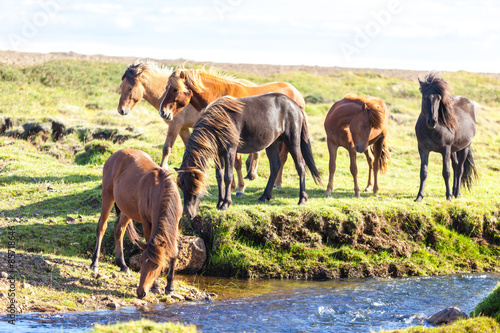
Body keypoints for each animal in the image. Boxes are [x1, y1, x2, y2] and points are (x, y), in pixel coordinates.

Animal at [90, 148, 182, 298]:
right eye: (141, 262)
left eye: (156, 266)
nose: (141, 292)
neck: (161, 191)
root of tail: (115, 154)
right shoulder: (146, 222)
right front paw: (156, 286)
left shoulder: (175, 224)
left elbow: (174, 252)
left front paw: (170, 287)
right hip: (107, 196)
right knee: (102, 227)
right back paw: (95, 263)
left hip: (127, 209)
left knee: (119, 229)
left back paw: (122, 265)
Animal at [116, 60, 254, 195]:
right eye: (121, 87)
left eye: (130, 88)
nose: (121, 110)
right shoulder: (183, 129)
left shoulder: (175, 125)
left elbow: (166, 148)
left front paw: (163, 169)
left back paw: (243, 183)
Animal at [158, 66, 304, 188]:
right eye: (166, 88)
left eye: (175, 89)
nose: (163, 112)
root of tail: (296, 93)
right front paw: (232, 186)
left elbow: (236, 163)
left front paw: (239, 187)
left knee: (283, 158)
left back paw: (278, 183)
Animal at [176, 92, 322, 219]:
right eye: (181, 187)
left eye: (194, 187)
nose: (188, 214)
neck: (219, 121)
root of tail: (295, 106)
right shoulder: (218, 154)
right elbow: (219, 177)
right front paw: (219, 202)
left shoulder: (230, 151)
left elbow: (228, 176)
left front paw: (226, 203)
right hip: (273, 144)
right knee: (275, 166)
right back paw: (264, 196)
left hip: (292, 140)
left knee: (300, 166)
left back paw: (302, 199)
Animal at [414, 72, 476, 201]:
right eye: (424, 97)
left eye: (439, 98)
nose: (432, 121)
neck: (431, 130)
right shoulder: (423, 148)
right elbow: (423, 172)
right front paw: (419, 196)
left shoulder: (445, 149)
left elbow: (446, 172)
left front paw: (448, 196)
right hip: (454, 150)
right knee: (456, 166)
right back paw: (454, 191)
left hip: (465, 147)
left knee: (460, 169)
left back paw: (457, 193)